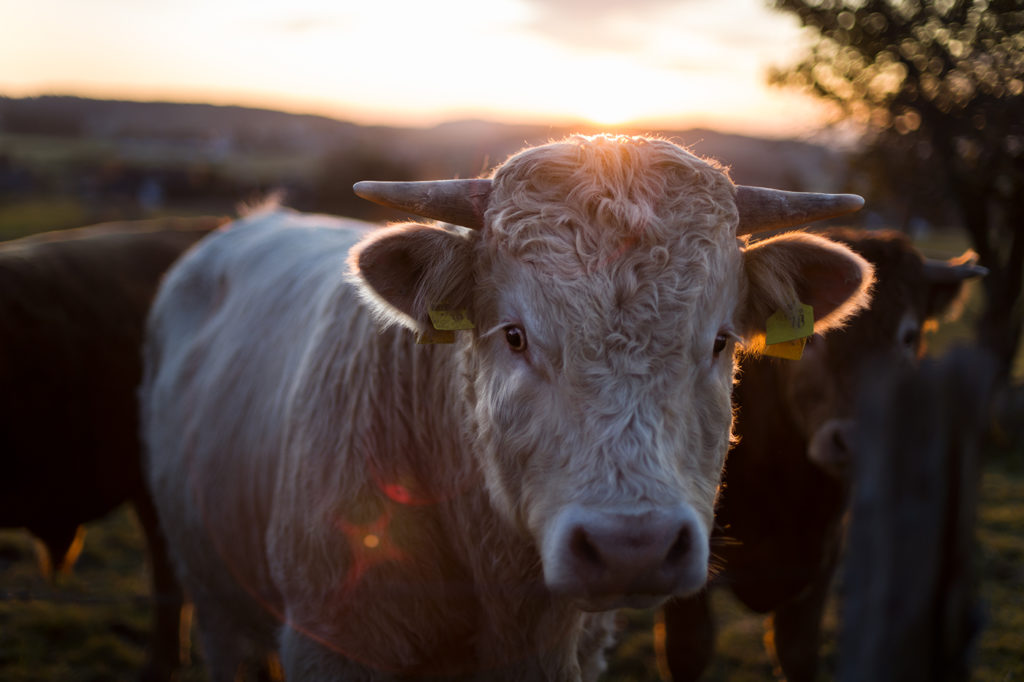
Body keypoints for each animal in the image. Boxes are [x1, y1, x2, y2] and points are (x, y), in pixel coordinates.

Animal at [659, 228, 987, 679]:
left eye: (908, 336)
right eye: (809, 337)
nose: (854, 439)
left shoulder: (821, 567)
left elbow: (797, 651)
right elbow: (689, 651)